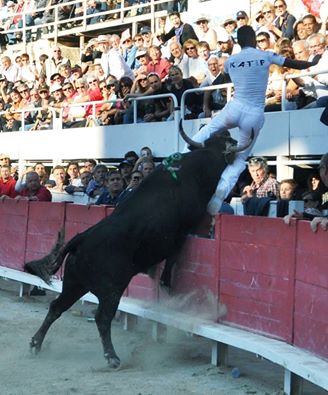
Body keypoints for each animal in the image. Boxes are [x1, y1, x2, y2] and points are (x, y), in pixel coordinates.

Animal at [24, 129, 252, 368]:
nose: (229, 133)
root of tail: (81, 237)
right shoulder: (183, 230)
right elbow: (173, 256)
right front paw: (165, 281)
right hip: (110, 289)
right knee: (101, 317)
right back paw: (112, 357)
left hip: (74, 284)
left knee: (56, 307)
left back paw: (36, 344)